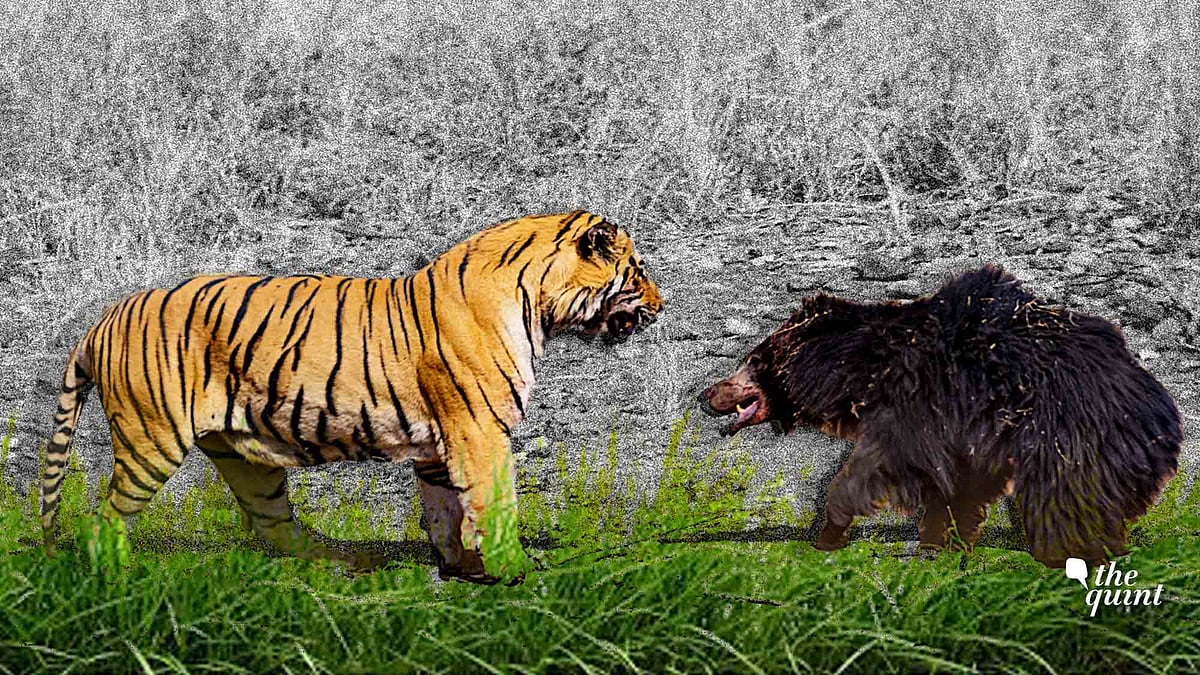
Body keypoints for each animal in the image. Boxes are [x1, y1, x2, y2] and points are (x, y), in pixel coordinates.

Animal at [41, 210, 664, 584]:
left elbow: (446, 513)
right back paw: (120, 576)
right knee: (102, 518)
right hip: (152, 439)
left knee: (273, 524)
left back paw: (342, 558)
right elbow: (495, 502)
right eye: (637, 273)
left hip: (242, 455)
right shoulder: (480, 432)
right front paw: (514, 570)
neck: (537, 301)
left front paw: (461, 566)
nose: (663, 304)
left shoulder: (440, 448)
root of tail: (101, 321)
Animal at [698, 264, 1182, 568]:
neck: (861, 371)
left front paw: (828, 531)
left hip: (1070, 438)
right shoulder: (963, 429)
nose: (705, 393)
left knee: (1062, 500)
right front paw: (941, 540)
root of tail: (1162, 410)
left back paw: (1069, 552)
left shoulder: (923, 400)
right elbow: (960, 484)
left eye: (752, 360)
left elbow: (882, 465)